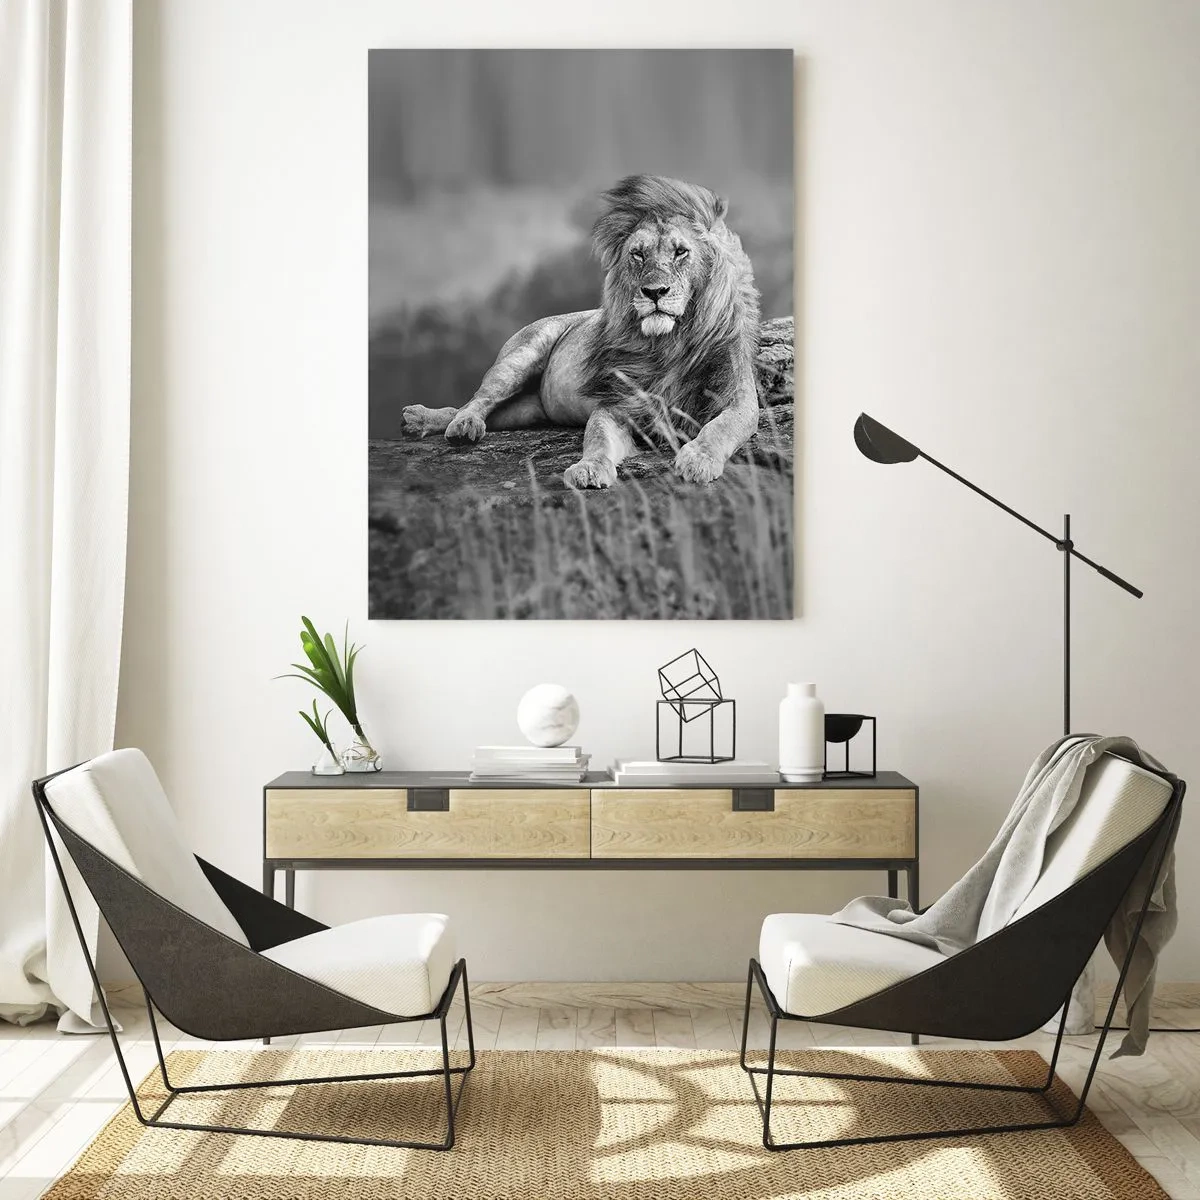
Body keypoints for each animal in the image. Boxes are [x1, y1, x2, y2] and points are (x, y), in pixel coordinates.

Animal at [401, 174, 766, 487]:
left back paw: (424, 421)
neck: (668, 344)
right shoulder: (617, 404)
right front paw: (588, 469)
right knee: (477, 401)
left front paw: (699, 459)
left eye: (681, 251)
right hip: (520, 356)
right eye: (638, 254)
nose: (654, 292)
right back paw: (452, 424)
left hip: (527, 411)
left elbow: (721, 428)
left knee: (481, 411)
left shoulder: (738, 399)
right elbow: (598, 438)